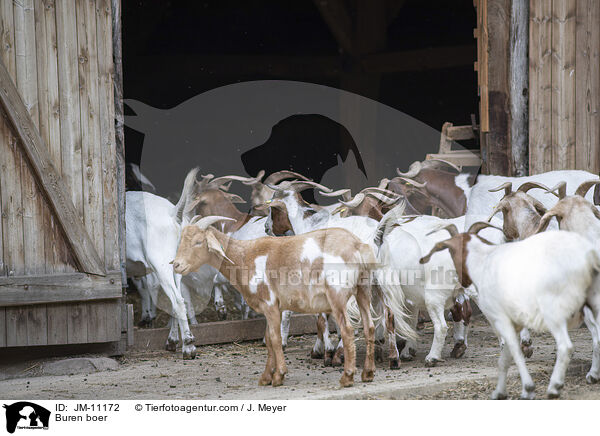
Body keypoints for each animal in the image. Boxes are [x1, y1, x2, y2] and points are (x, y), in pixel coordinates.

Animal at [172, 216, 380, 386]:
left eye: (199, 242)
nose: (176, 265)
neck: (244, 256)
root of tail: (358, 246)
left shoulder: (269, 302)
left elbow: (274, 337)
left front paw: (279, 375)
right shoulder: (273, 307)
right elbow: (269, 338)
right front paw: (266, 377)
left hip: (337, 295)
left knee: (347, 330)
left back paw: (347, 377)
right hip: (363, 289)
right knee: (369, 326)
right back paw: (368, 373)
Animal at [420, 221, 600, 398]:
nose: (462, 280)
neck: (482, 262)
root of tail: (587, 258)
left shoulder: (500, 319)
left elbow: (513, 351)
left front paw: (526, 388)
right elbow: (506, 355)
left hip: (554, 313)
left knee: (566, 346)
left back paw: (555, 387)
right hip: (591, 305)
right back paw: (592, 375)